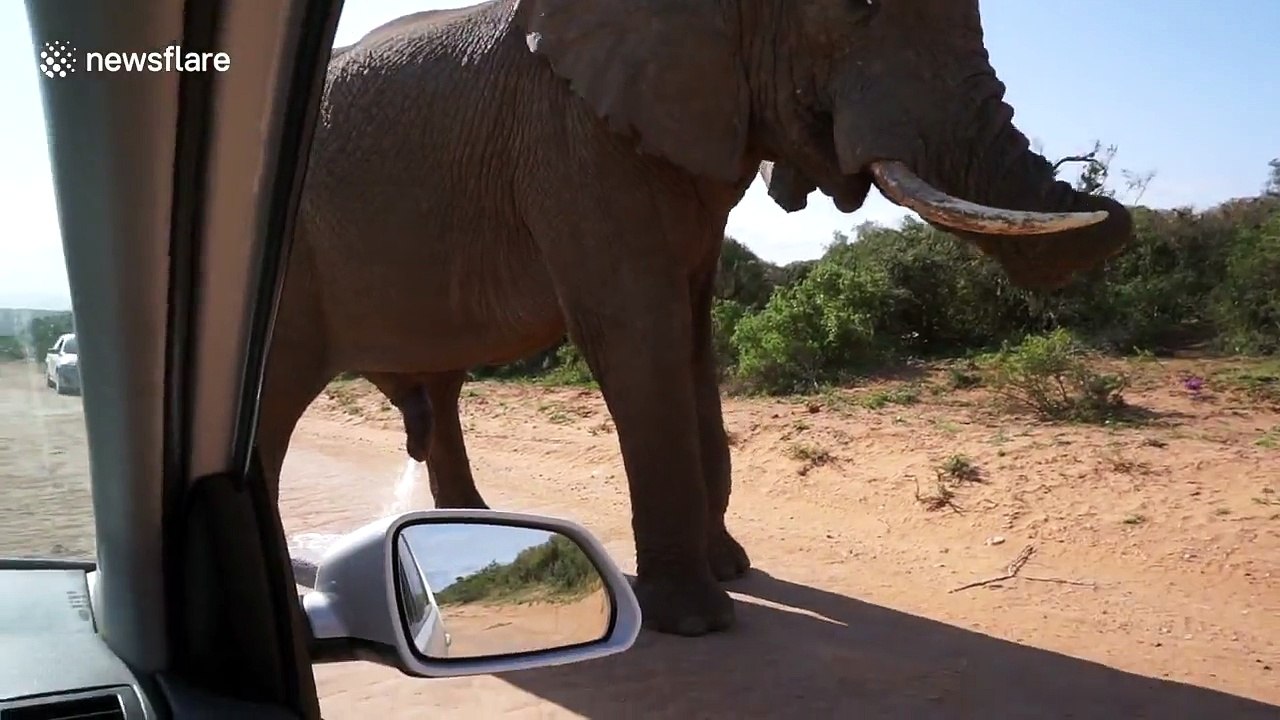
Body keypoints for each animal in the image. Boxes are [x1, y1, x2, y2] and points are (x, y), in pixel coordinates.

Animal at [257, 0, 1134, 638]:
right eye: (856, 7)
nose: (1118, 213)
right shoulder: (574, 142)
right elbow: (636, 334)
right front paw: (700, 620)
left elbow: (691, 337)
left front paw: (734, 570)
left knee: (437, 396)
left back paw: (465, 524)